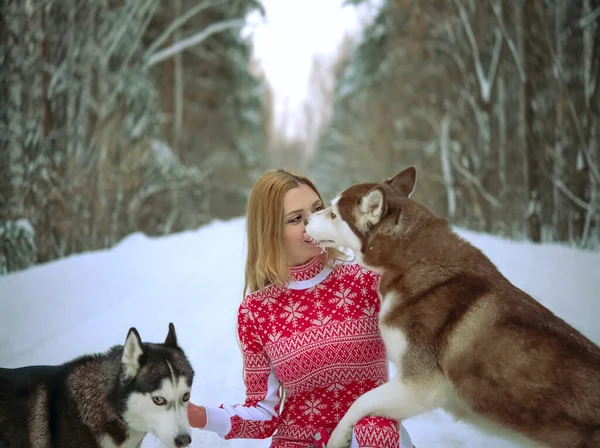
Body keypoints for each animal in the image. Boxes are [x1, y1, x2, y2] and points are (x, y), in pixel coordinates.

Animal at [304, 166, 600, 446]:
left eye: (333, 214)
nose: (305, 219)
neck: (410, 260)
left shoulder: (419, 387)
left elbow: (360, 402)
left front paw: (336, 438)